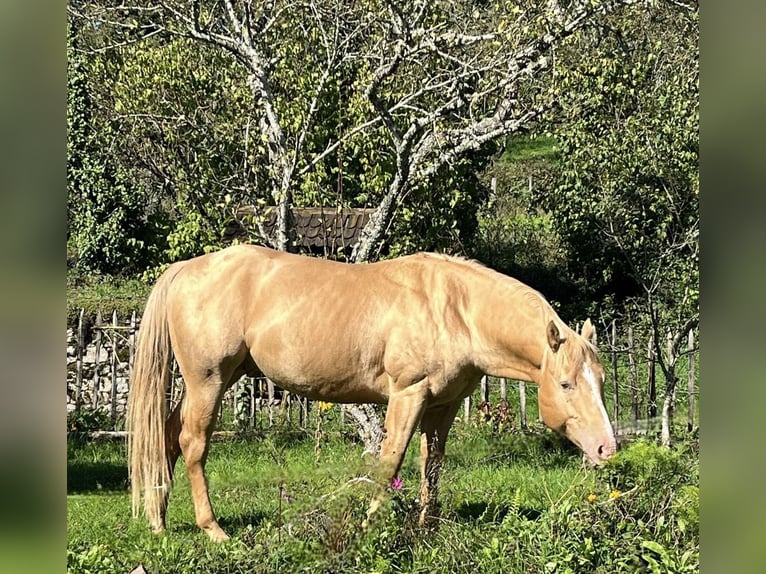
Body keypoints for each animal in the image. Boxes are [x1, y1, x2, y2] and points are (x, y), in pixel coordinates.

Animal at [127, 245, 616, 544]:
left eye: (600, 378)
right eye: (567, 384)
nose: (606, 449)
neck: (455, 308)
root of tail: (187, 269)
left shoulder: (443, 405)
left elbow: (431, 465)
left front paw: (426, 528)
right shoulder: (408, 395)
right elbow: (390, 461)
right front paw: (370, 525)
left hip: (212, 382)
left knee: (166, 436)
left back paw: (158, 520)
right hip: (208, 381)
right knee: (192, 443)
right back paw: (212, 529)